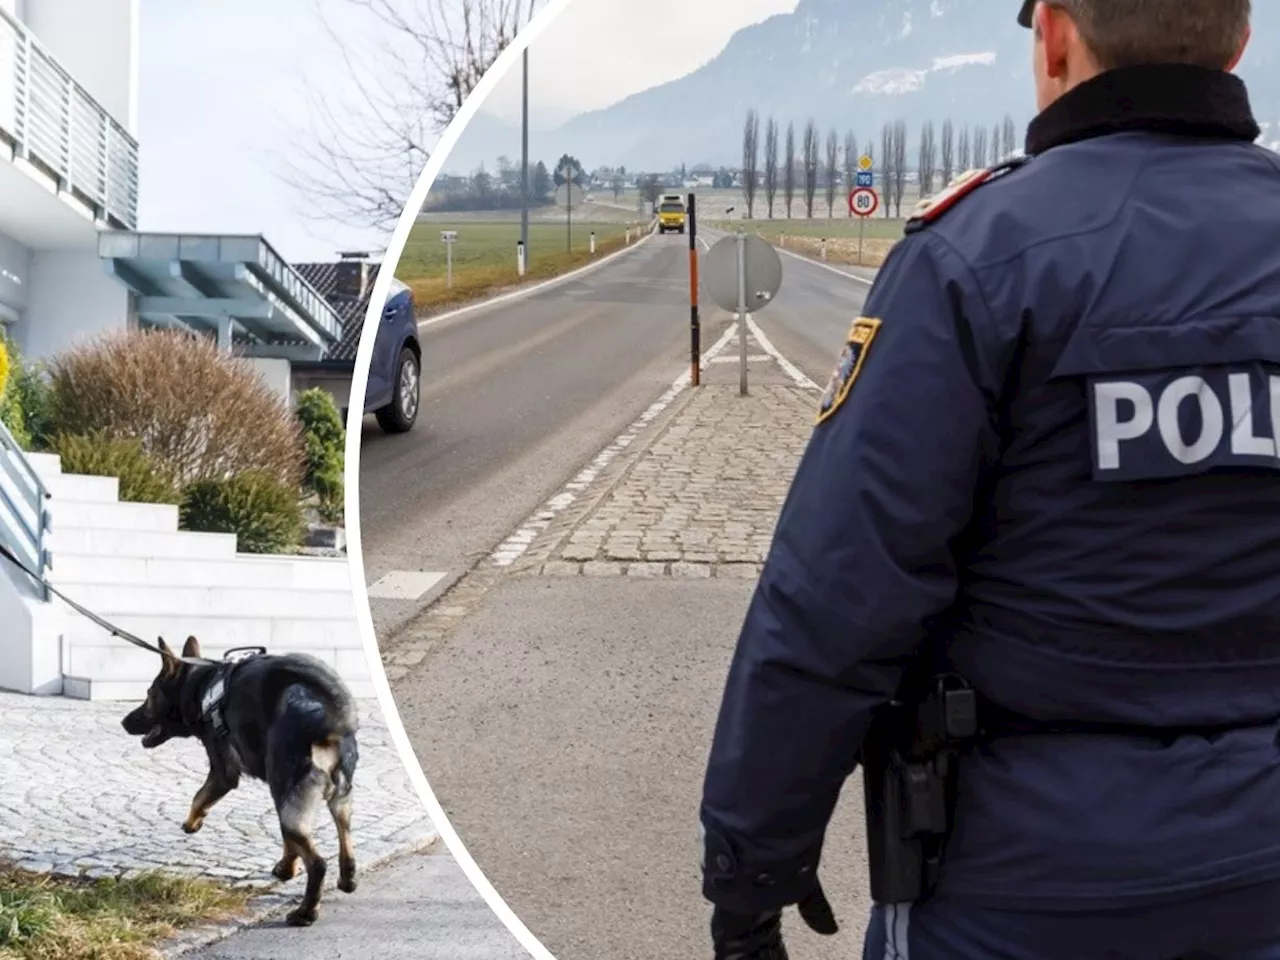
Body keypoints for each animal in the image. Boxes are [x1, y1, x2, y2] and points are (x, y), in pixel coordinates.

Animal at [120, 640, 360, 926]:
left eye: (149, 694)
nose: (123, 722)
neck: (201, 687)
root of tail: (327, 723)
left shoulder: (223, 773)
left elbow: (199, 797)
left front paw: (192, 822)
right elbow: (287, 844)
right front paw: (287, 868)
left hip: (290, 802)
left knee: (318, 863)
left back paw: (306, 912)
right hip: (335, 801)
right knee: (344, 839)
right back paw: (347, 879)